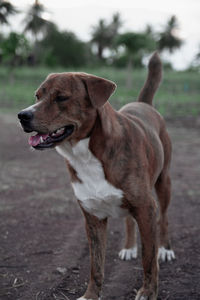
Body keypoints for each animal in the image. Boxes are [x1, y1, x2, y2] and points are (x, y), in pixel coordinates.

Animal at [18, 52, 175, 298]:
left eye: (61, 97)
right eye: (37, 95)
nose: (22, 115)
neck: (87, 153)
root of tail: (143, 103)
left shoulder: (146, 208)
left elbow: (149, 260)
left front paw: (148, 292)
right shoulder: (93, 217)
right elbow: (96, 265)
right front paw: (90, 295)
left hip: (163, 182)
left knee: (165, 218)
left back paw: (165, 249)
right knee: (129, 220)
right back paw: (129, 247)